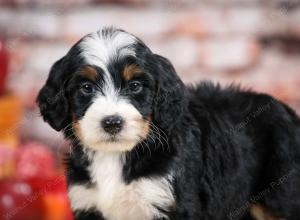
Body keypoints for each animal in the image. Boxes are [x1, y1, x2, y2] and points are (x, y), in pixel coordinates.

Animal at [37, 27, 300, 220]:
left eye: (135, 86)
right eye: (86, 87)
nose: (112, 123)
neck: (117, 156)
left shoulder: (170, 204)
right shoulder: (88, 203)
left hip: (282, 195)